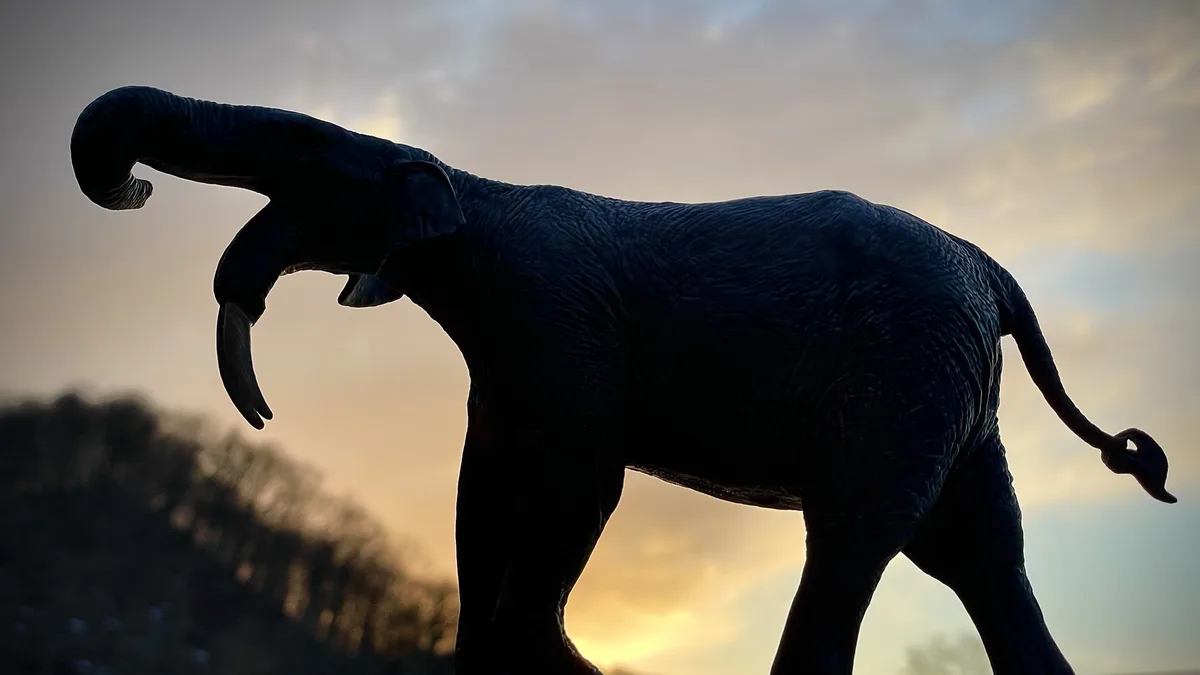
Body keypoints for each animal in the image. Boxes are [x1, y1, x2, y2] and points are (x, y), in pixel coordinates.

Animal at [70, 85, 1175, 675]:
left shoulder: (554, 324)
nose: (134, 186)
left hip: (905, 375)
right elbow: (484, 501)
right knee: (981, 557)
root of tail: (995, 274)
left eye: (309, 156)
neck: (471, 189)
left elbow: (576, 488)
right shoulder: (506, 370)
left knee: (860, 539)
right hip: (958, 399)